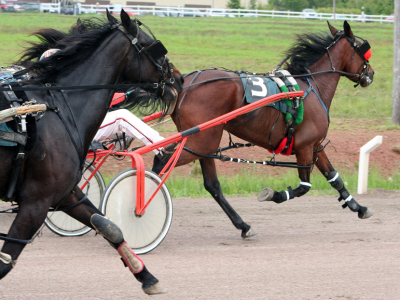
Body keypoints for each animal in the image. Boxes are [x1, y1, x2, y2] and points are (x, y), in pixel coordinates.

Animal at [0, 10, 184, 294]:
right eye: (154, 47)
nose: (178, 78)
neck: (57, 107)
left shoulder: (64, 194)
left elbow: (109, 227)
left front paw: (146, 276)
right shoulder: (36, 201)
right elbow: (6, 259)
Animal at [154, 21, 376, 239]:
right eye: (363, 50)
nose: (371, 73)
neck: (311, 86)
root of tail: (184, 85)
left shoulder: (315, 145)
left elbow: (334, 178)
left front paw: (359, 207)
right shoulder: (305, 146)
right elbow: (304, 187)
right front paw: (275, 195)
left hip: (202, 144)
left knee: (210, 184)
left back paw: (243, 225)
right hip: (201, 141)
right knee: (163, 163)